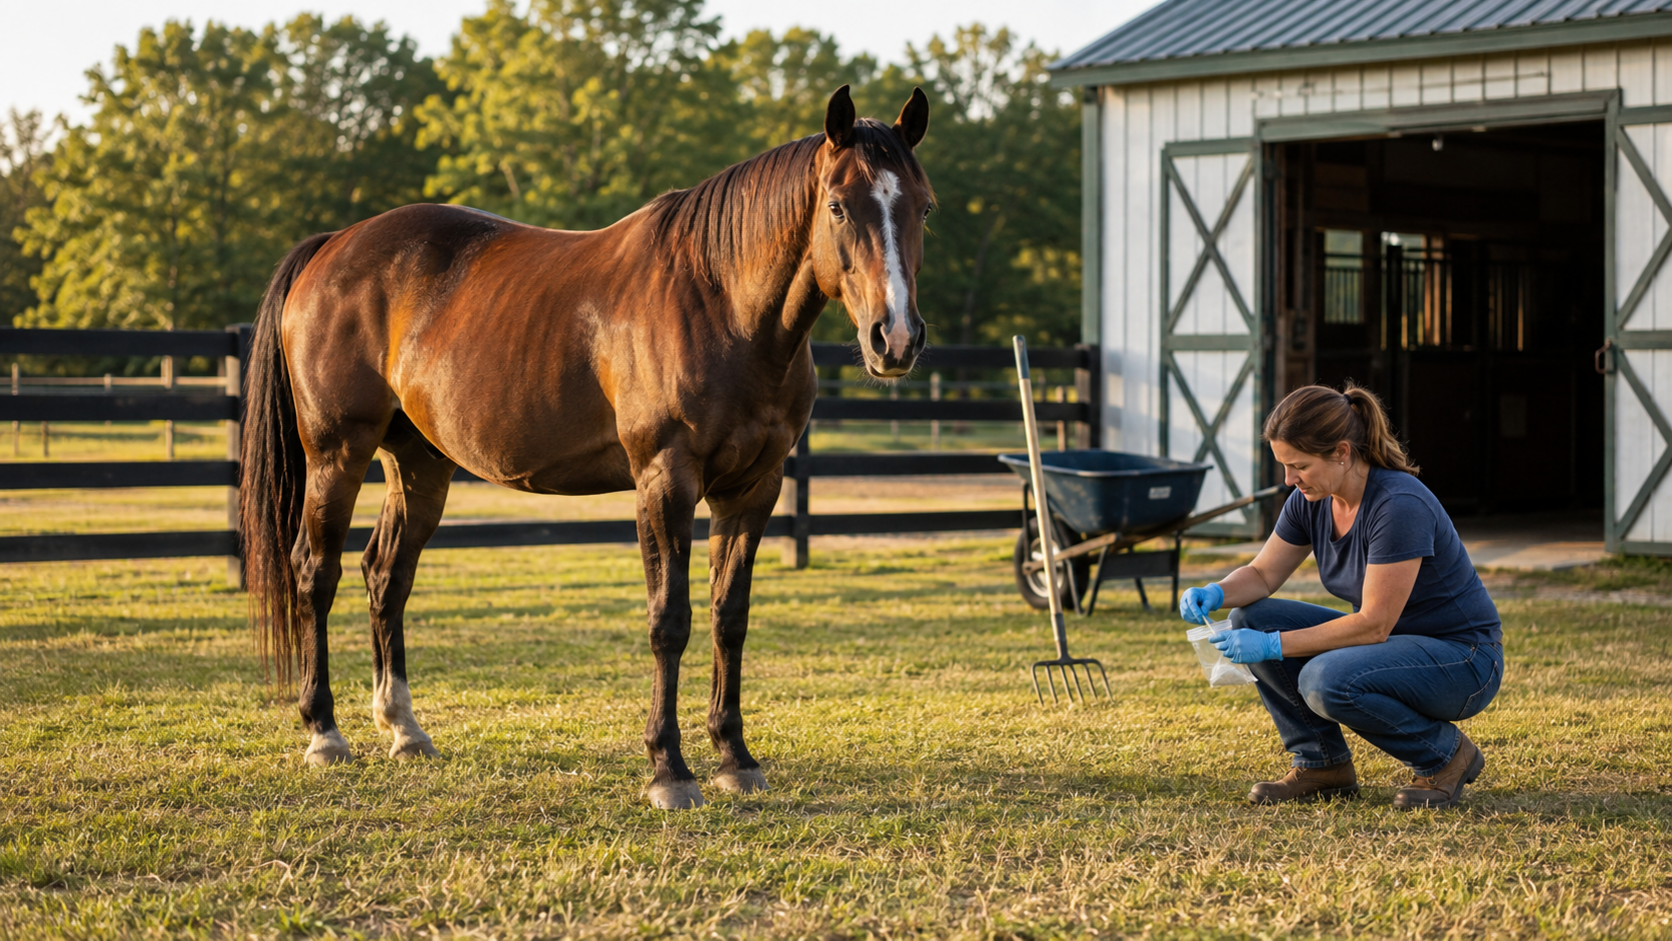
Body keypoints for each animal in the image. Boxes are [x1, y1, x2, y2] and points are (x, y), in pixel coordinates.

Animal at [238, 85, 932, 809]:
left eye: (923, 205)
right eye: (838, 205)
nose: (896, 338)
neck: (720, 302)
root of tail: (332, 246)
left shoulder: (754, 488)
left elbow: (729, 617)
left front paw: (735, 757)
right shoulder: (665, 481)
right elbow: (669, 619)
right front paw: (669, 769)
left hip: (419, 462)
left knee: (386, 574)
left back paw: (404, 728)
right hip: (336, 455)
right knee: (316, 572)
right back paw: (324, 733)